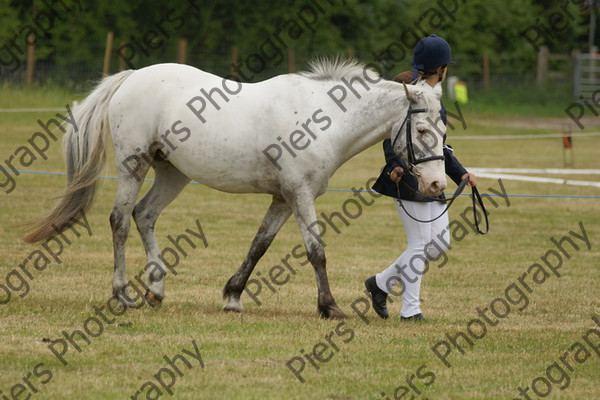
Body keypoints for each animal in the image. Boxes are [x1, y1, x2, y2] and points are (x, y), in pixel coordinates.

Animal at [24, 58, 446, 318]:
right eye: (423, 130)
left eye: (444, 131)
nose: (437, 184)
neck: (324, 120)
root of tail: (133, 76)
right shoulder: (299, 195)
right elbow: (316, 252)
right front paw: (329, 307)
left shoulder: (282, 198)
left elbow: (259, 245)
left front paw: (232, 295)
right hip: (134, 165)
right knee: (121, 220)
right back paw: (122, 293)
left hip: (173, 173)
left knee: (144, 215)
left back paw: (156, 289)